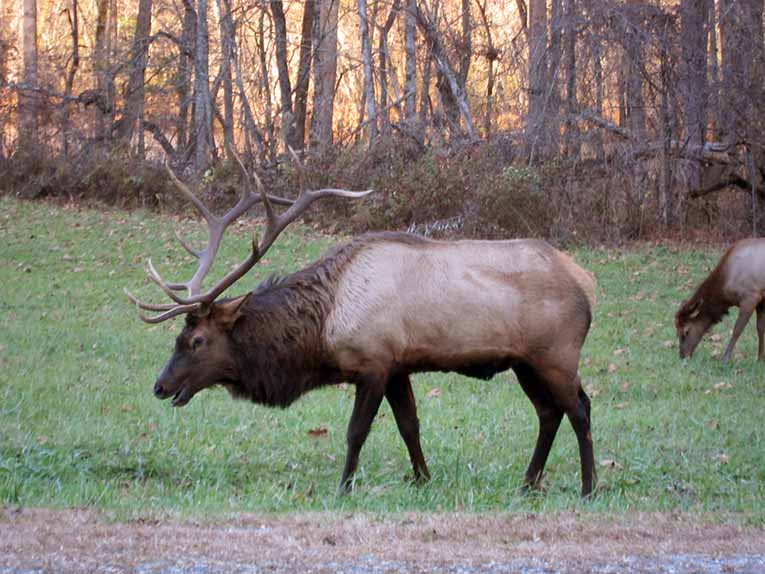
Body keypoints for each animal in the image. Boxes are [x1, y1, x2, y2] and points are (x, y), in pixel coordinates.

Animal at [127, 155, 596, 498]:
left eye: (197, 340)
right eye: (178, 337)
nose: (160, 386)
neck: (324, 325)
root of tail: (586, 282)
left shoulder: (373, 362)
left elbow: (356, 432)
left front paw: (344, 486)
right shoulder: (399, 366)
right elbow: (410, 426)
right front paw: (422, 479)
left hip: (555, 354)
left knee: (579, 409)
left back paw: (588, 487)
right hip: (524, 362)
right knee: (548, 412)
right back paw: (528, 482)